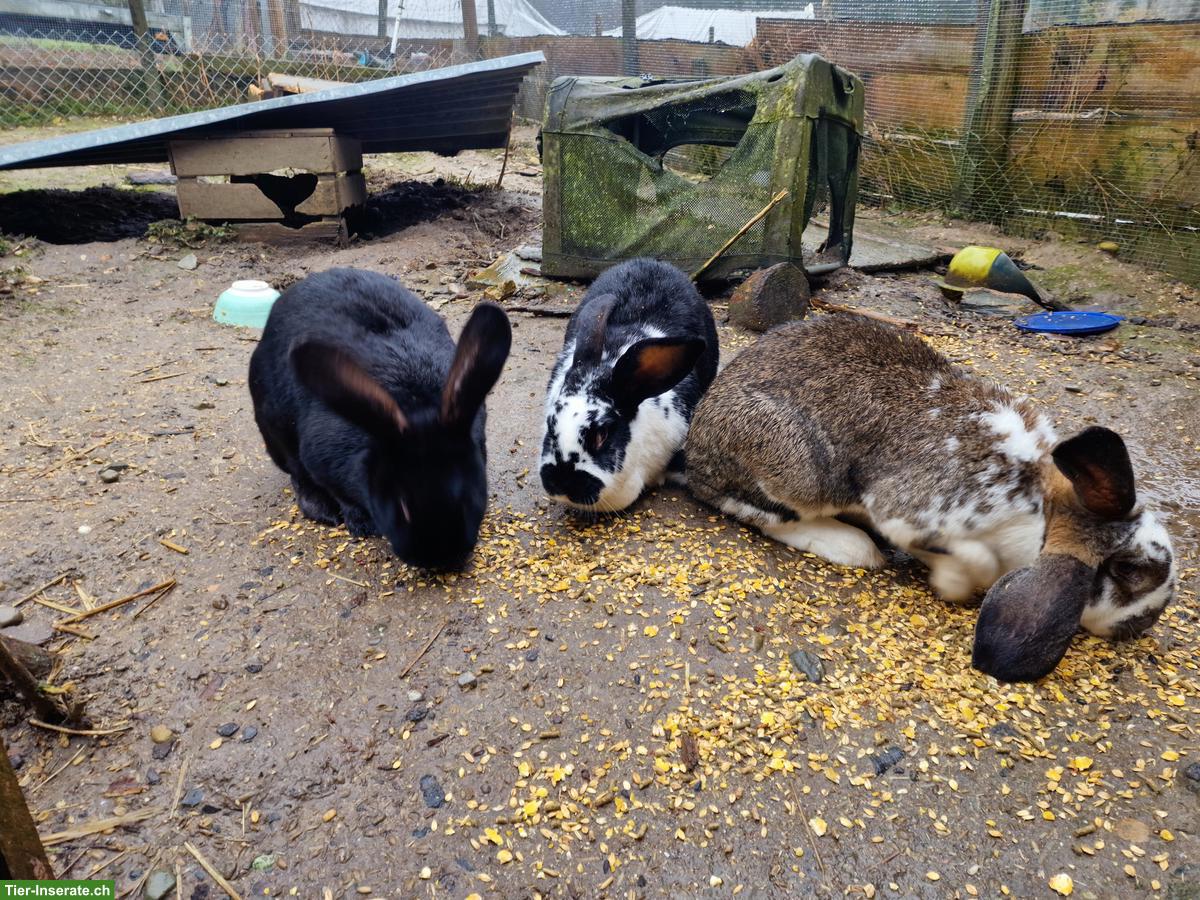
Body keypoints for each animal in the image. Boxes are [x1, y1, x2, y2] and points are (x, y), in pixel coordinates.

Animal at [248, 267, 512, 570]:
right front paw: (361, 524)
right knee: (297, 474)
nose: (439, 559)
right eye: (403, 507)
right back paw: (322, 510)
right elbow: (339, 493)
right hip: (275, 431)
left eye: (468, 498)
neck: (413, 401)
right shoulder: (321, 457)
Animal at [685, 314, 1176, 681]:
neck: (1041, 507)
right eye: (1130, 572)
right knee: (765, 513)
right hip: (797, 469)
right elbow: (973, 561)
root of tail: (697, 450)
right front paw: (951, 584)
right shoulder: (912, 514)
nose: (1145, 623)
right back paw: (853, 547)